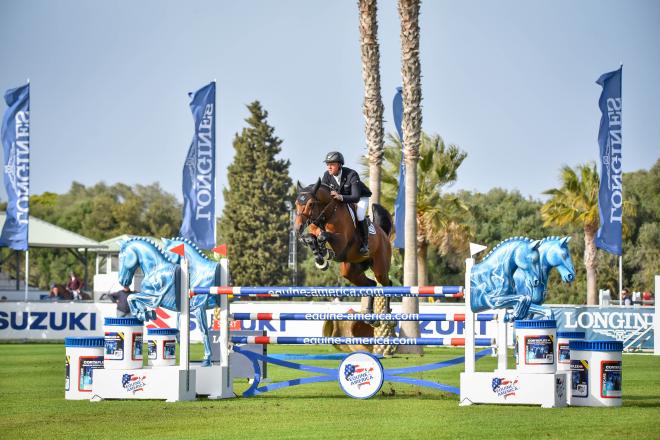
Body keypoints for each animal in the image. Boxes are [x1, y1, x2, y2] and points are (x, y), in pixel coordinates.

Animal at [294, 179, 392, 316]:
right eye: (296, 203)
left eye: (311, 204)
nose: (298, 227)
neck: (327, 215)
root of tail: (383, 234)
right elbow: (310, 238)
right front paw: (320, 260)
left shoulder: (341, 243)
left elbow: (323, 236)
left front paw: (325, 252)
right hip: (350, 270)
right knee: (371, 284)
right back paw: (368, 312)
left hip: (380, 268)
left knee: (387, 283)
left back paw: (387, 311)